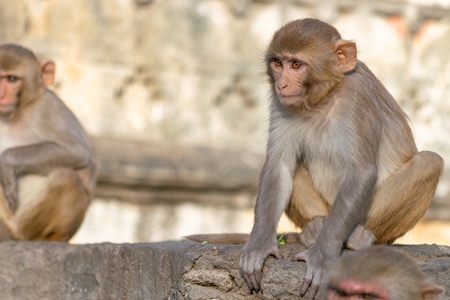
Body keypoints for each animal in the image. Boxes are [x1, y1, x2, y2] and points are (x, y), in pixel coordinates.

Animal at [0, 44, 95, 241]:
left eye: (12, 79)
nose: (0, 94)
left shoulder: (46, 108)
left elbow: (77, 151)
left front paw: (6, 163)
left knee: (66, 177)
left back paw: (13, 232)